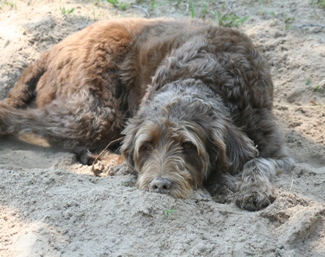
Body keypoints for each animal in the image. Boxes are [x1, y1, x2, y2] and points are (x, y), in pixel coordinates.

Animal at [0, 17, 292, 210]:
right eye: (146, 146)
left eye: (188, 146)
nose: (160, 185)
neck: (205, 77)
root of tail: (53, 49)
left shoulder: (276, 150)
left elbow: (257, 163)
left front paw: (251, 190)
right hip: (97, 114)